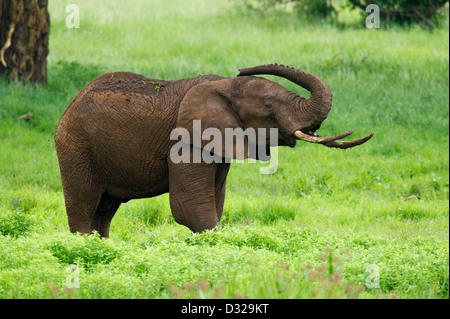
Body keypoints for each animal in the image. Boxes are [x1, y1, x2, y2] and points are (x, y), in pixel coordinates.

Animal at [55, 64, 372, 238]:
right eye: (269, 107)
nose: (243, 69)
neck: (224, 85)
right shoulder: (185, 140)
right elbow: (189, 206)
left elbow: (215, 201)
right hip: (76, 146)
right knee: (84, 204)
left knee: (104, 210)